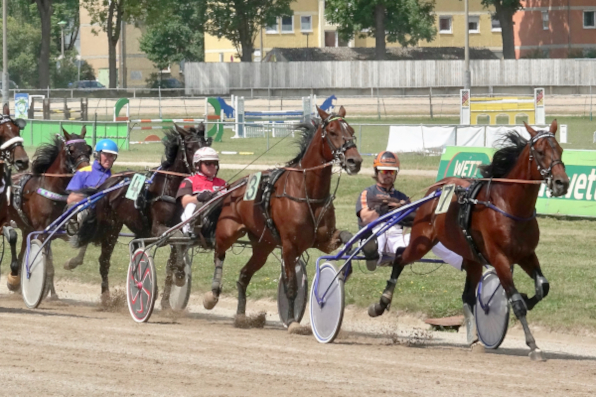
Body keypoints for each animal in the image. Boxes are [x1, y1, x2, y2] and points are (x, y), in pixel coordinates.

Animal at [4, 127, 92, 294]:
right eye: (71, 150)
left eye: (88, 149)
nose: (86, 171)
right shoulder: (42, 231)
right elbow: (46, 260)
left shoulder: (62, 230)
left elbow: (83, 242)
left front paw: (71, 262)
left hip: (27, 228)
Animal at [64, 124, 210, 300]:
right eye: (189, 147)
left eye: (206, 143)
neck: (170, 188)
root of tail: (106, 184)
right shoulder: (158, 228)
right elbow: (177, 240)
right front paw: (180, 274)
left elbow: (173, 259)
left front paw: (168, 298)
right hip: (110, 227)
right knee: (104, 260)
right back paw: (106, 296)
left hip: (138, 230)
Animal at [203, 106, 364, 332]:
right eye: (332, 132)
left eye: (351, 130)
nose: (354, 161)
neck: (307, 193)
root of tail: (232, 188)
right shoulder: (289, 246)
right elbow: (291, 286)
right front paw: (292, 322)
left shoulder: (325, 239)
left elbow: (345, 236)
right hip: (229, 231)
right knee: (219, 252)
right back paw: (213, 294)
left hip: (263, 246)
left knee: (243, 276)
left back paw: (241, 316)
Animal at [368, 120, 568, 358]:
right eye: (540, 152)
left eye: (560, 150)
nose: (562, 182)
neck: (509, 206)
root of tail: (436, 188)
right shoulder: (499, 258)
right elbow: (517, 302)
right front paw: (533, 345)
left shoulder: (526, 254)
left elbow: (542, 287)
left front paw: (528, 300)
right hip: (422, 241)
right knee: (399, 257)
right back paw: (380, 304)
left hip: (472, 257)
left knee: (467, 296)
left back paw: (473, 338)